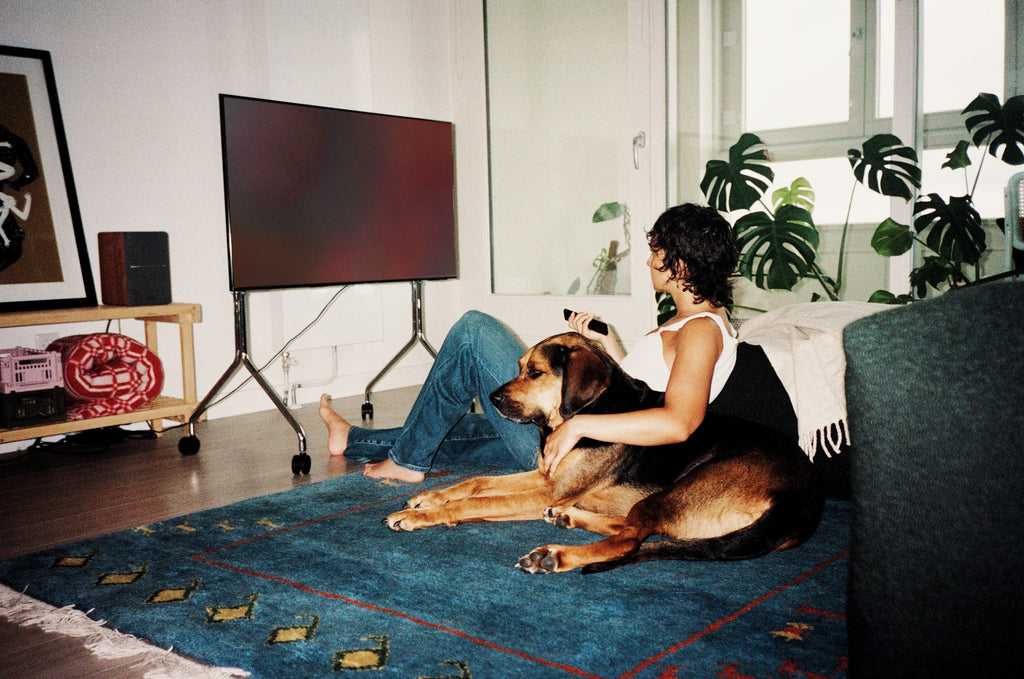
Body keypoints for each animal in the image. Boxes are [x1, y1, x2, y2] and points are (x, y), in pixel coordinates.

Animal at [384, 332, 825, 574]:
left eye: (535, 372)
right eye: (519, 367)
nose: (491, 399)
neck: (587, 412)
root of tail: (802, 502)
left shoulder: (547, 488)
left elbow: (478, 501)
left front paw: (422, 516)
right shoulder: (547, 478)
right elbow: (477, 482)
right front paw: (430, 497)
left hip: (683, 486)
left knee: (630, 540)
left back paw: (555, 555)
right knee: (627, 527)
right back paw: (568, 518)